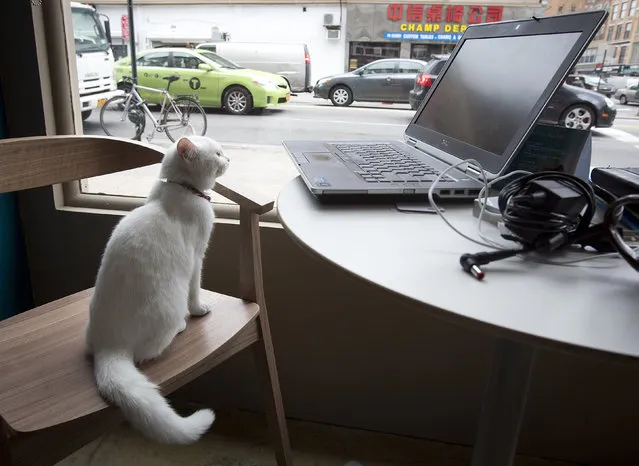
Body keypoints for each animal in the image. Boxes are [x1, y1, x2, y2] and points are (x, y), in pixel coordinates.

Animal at [85, 135, 230, 444]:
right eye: (217, 154)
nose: (229, 158)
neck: (179, 188)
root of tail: (109, 346)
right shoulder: (197, 257)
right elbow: (196, 290)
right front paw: (199, 310)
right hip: (168, 308)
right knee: (149, 350)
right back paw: (180, 326)